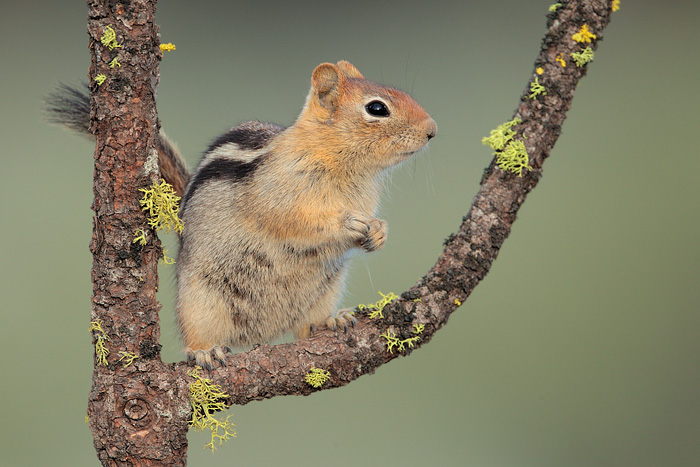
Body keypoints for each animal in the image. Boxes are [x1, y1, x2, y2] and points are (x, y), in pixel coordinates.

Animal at [46, 61, 434, 370]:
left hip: (324, 292)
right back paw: (204, 352)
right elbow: (295, 221)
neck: (345, 165)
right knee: (196, 337)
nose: (432, 130)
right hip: (200, 303)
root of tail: (264, 333)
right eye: (377, 108)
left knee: (305, 328)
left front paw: (378, 232)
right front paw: (348, 224)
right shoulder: (278, 194)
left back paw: (330, 322)